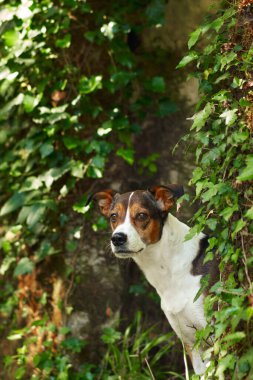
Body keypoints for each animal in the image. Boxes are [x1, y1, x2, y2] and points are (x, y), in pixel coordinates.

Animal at [88, 185, 217, 374]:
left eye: (142, 215)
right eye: (113, 216)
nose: (117, 238)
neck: (169, 265)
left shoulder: (215, 332)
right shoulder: (192, 343)